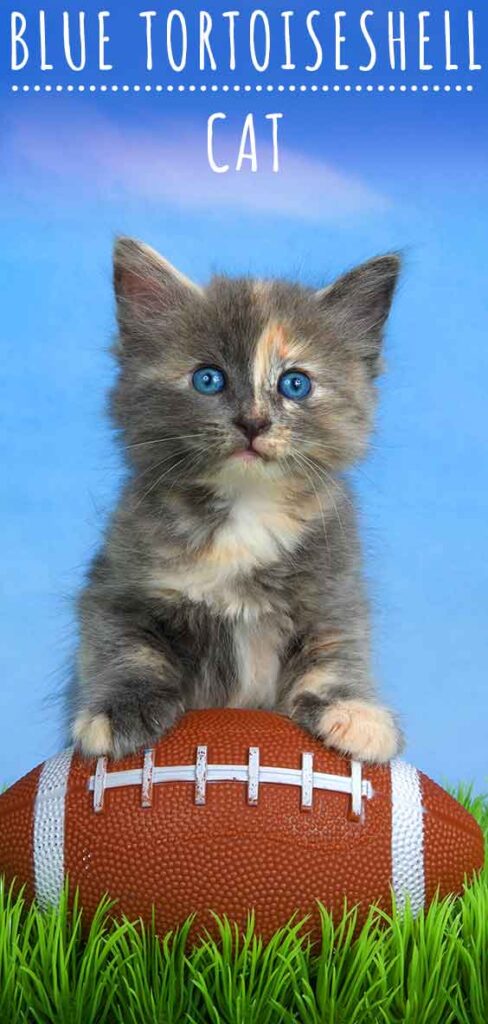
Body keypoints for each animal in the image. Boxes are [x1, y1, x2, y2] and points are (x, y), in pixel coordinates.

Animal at [69, 237, 403, 761]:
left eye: (295, 383)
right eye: (208, 379)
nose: (253, 422)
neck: (246, 510)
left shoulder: (334, 592)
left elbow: (336, 652)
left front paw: (353, 712)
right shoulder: (116, 585)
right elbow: (124, 647)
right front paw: (119, 710)